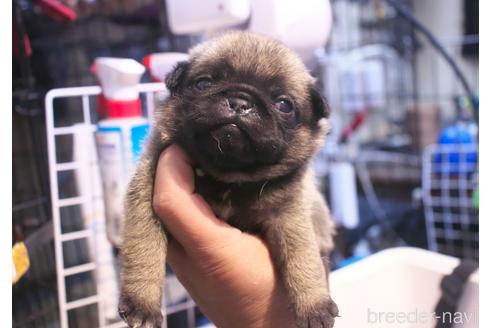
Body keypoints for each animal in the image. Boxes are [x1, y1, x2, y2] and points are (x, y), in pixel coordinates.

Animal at [119, 31, 338, 328]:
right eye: (203, 83)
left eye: (283, 105)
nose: (240, 102)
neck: (229, 177)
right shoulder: (145, 194)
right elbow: (144, 250)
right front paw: (142, 303)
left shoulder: (289, 214)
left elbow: (303, 258)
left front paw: (313, 305)